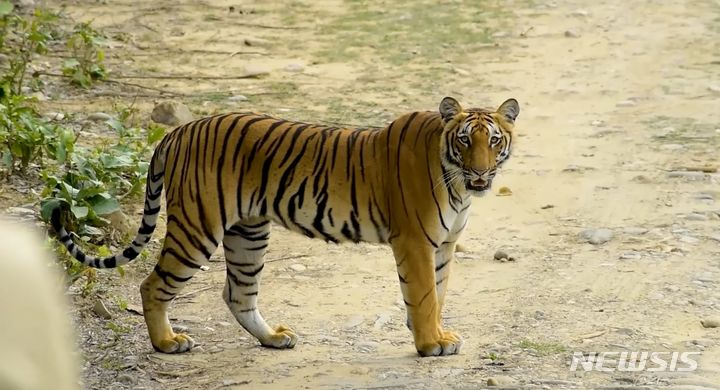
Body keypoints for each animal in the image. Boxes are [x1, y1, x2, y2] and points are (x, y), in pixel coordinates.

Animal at [53, 96, 520, 356]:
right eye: (465, 140)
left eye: (494, 140)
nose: (481, 173)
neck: (456, 182)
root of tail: (179, 130)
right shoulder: (415, 241)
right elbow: (423, 296)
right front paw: (428, 344)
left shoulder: (444, 244)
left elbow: (437, 295)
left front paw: (438, 334)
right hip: (197, 228)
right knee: (153, 285)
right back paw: (167, 343)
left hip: (248, 232)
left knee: (237, 294)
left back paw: (274, 338)